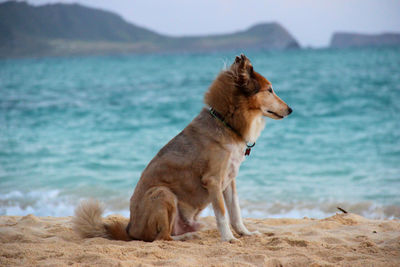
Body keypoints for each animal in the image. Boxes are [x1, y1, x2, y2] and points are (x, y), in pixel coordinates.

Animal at [72, 54, 290, 243]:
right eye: (270, 90)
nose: (290, 110)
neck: (226, 122)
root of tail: (130, 230)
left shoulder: (230, 181)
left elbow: (235, 212)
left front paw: (245, 233)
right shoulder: (213, 181)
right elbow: (222, 214)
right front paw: (228, 238)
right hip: (162, 193)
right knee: (162, 237)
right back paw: (187, 237)